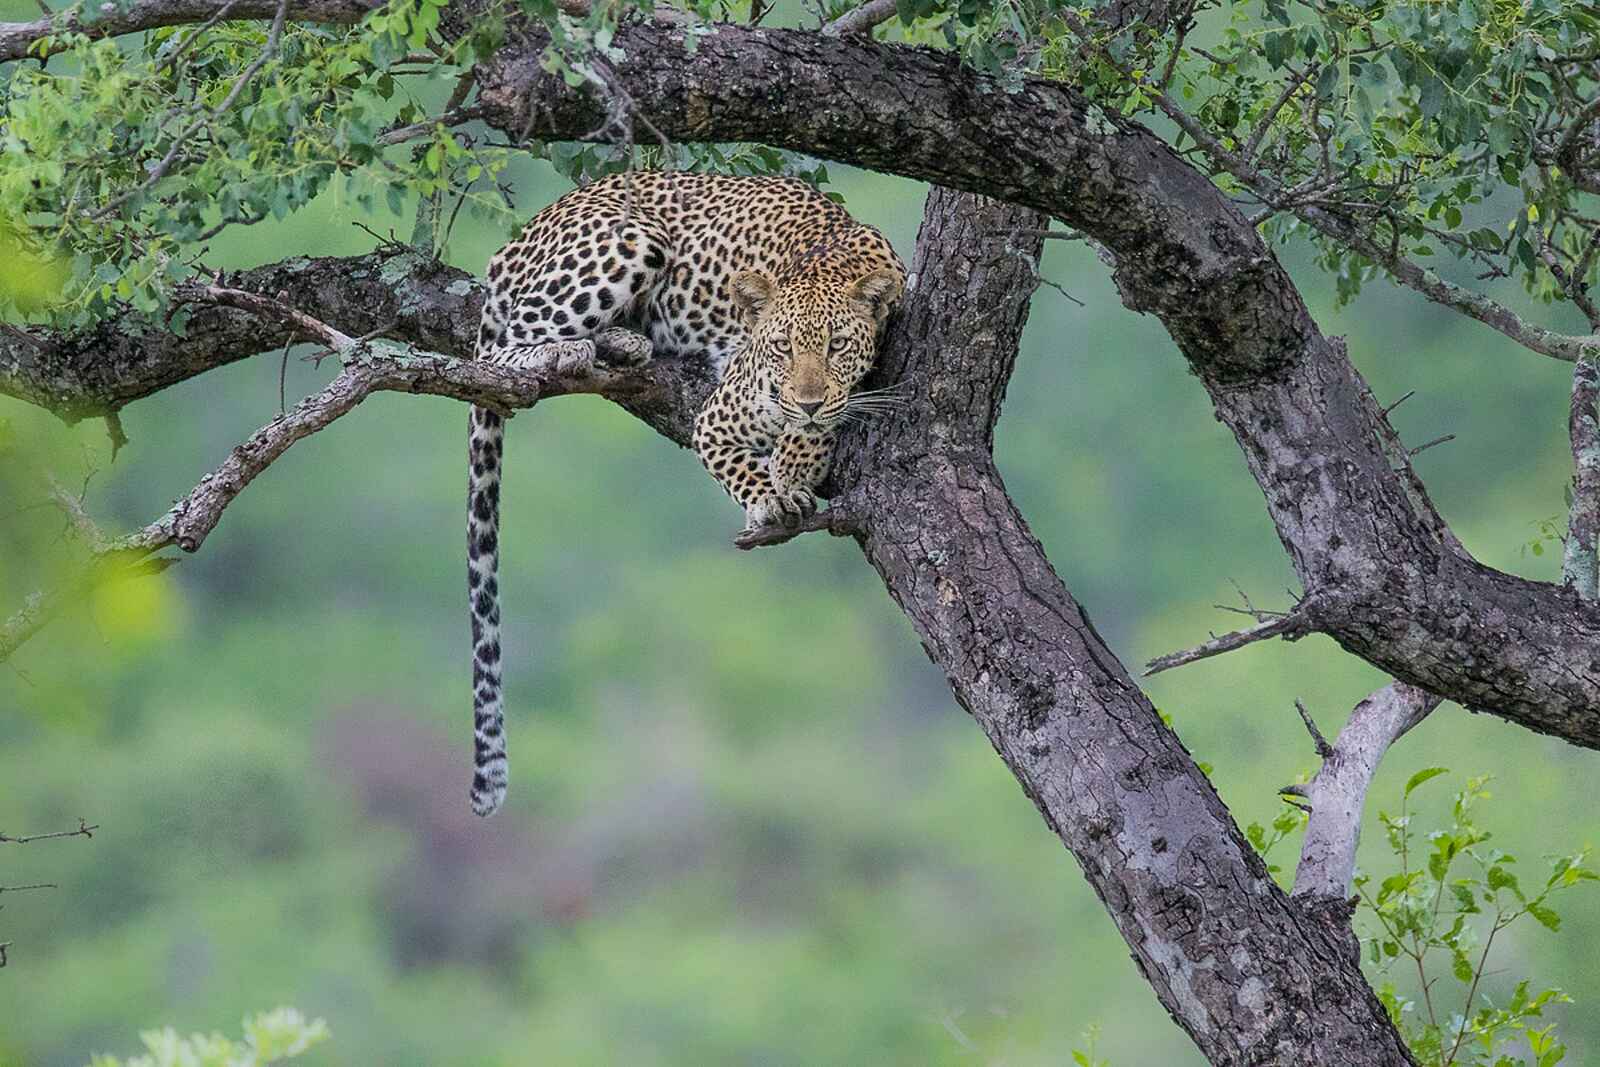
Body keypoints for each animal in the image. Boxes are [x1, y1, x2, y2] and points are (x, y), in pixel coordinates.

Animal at [466, 170, 905, 816]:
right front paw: (772, 495)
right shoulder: (720, 414)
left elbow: (824, 423)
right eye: (782, 347)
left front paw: (796, 462)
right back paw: (572, 349)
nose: (804, 399)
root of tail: (522, 234)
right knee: (503, 347)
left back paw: (623, 343)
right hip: (627, 242)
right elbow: (736, 460)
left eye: (837, 346)